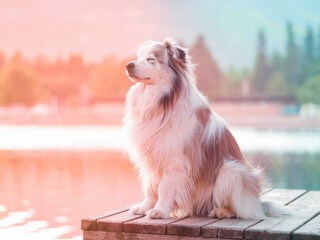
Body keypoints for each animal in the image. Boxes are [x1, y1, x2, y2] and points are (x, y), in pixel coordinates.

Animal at [124, 38, 294, 219]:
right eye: (139, 57)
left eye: (151, 59)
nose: (128, 65)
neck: (160, 99)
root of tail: (257, 203)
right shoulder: (151, 159)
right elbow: (150, 187)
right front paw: (144, 207)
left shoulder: (174, 161)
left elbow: (164, 187)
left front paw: (159, 210)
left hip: (230, 170)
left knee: (238, 210)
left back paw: (221, 211)